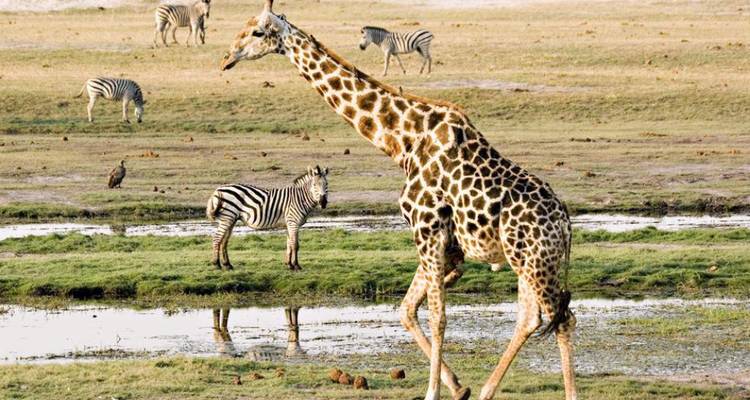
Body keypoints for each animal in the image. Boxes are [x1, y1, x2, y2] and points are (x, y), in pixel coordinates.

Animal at [220, 2, 577, 399]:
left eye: (256, 32)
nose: (227, 58)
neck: (402, 142)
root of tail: (565, 224)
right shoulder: (440, 241)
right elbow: (407, 310)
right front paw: (458, 387)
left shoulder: (427, 228)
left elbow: (437, 317)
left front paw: (434, 391)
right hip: (525, 261)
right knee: (532, 318)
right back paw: (486, 390)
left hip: (534, 261)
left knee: (562, 318)